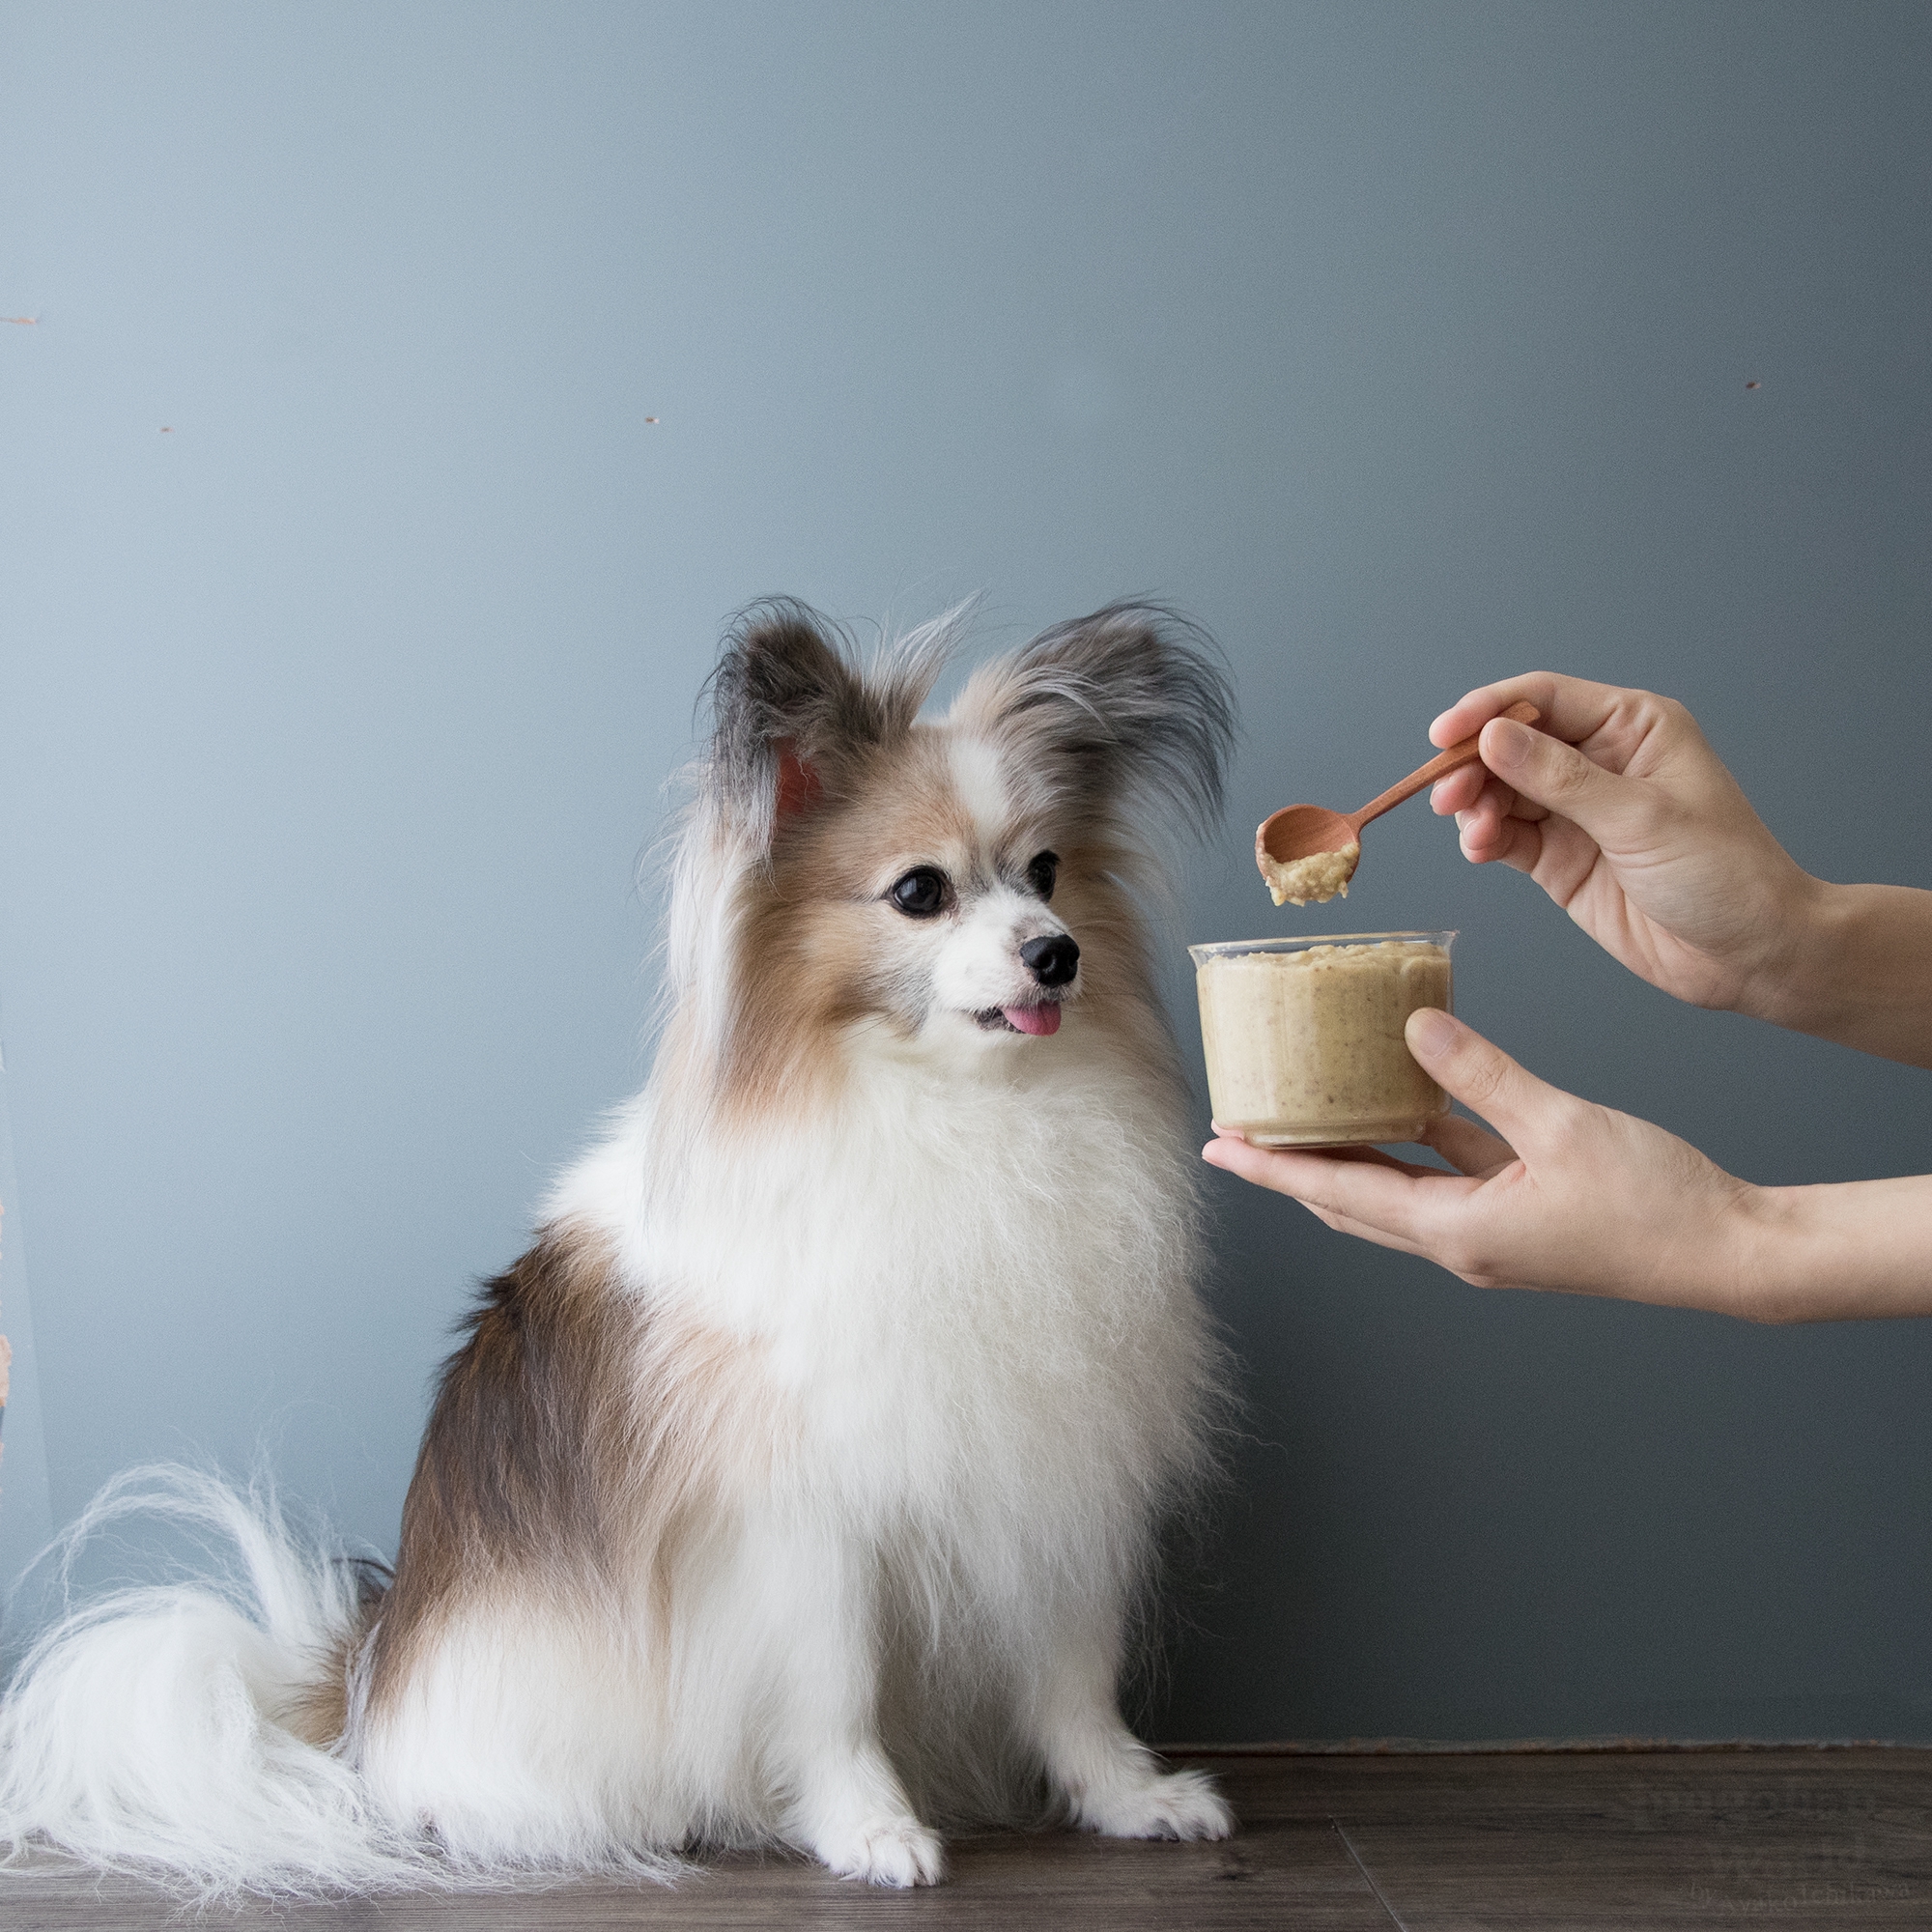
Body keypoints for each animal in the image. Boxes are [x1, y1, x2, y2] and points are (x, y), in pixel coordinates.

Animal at [0, 595, 1236, 1893]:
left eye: (1045, 871)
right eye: (918, 892)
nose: (1056, 950)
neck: (957, 1117)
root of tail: (365, 1688)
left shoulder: (1055, 1487)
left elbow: (1072, 1683)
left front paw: (1131, 1796)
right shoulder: (806, 1525)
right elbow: (835, 1695)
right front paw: (869, 1828)